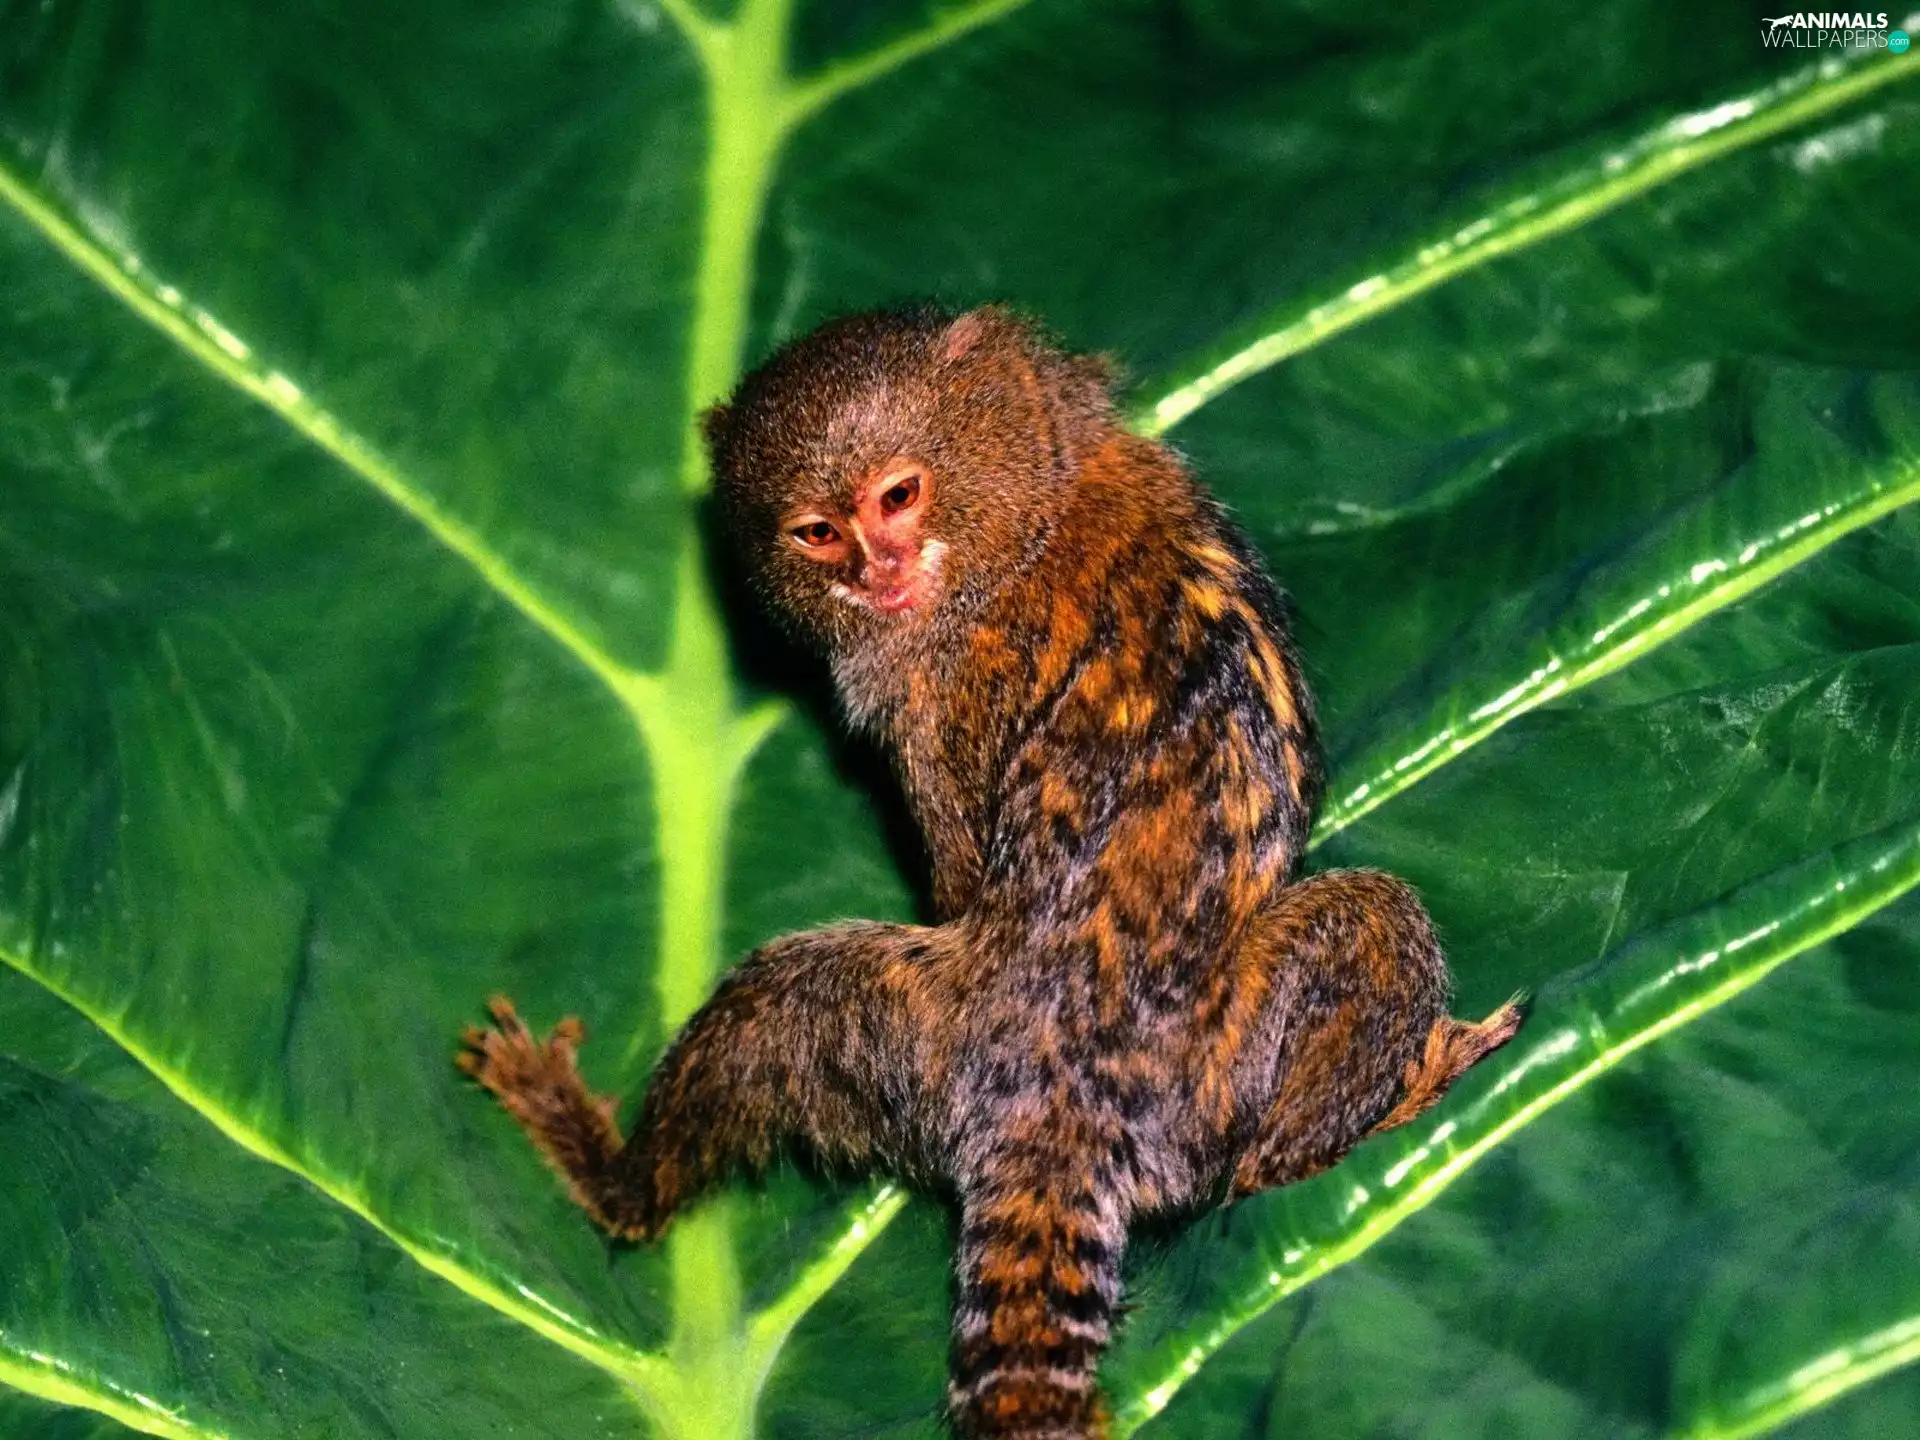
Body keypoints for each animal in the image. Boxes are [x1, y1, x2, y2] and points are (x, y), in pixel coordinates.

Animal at [459, 305, 1523, 1439]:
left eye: (898, 495)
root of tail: (1056, 1099)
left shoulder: (935, 690)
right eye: (815, 532)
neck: (1029, 514)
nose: (875, 570)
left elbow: (961, 880)